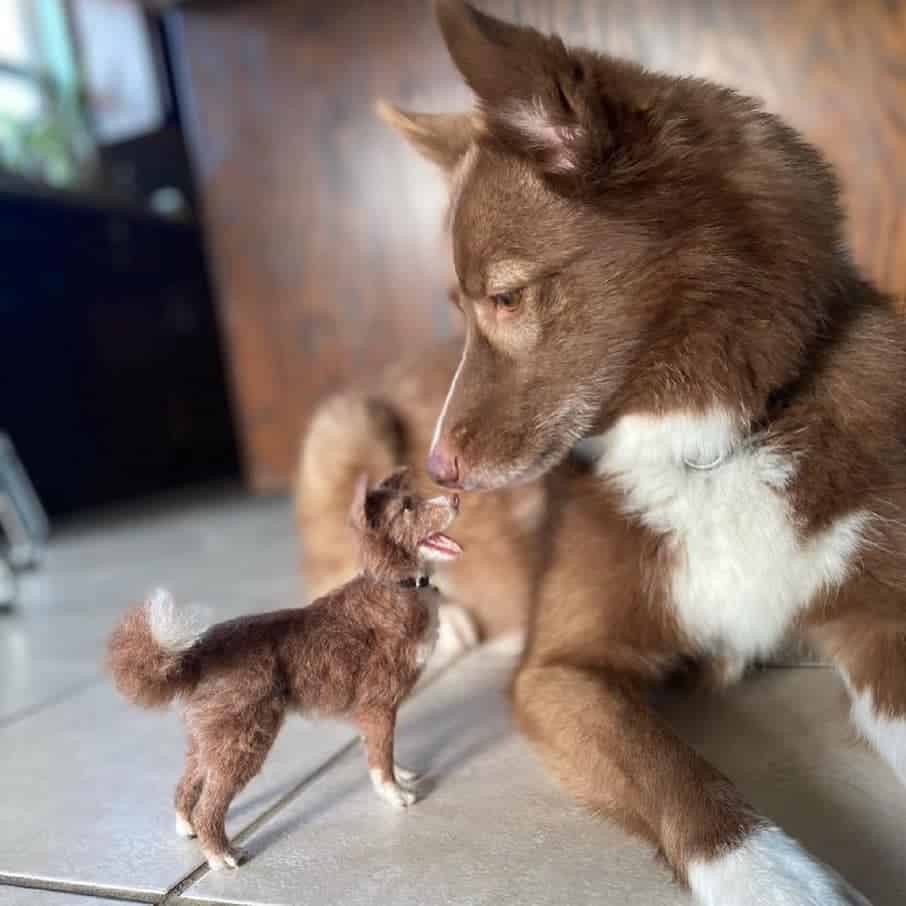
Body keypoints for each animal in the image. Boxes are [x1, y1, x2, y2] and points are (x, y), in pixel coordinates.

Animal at [106, 470, 460, 864]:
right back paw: (220, 855)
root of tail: (197, 654)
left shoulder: (378, 714)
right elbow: (380, 759)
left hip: (209, 738)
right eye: (408, 508)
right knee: (210, 803)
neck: (397, 585)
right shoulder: (378, 706)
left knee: (188, 783)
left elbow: (383, 751)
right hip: (244, 739)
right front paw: (395, 795)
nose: (457, 498)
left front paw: (402, 774)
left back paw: (187, 827)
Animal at [296, 3, 904, 900]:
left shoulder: (873, 619)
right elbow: (674, 772)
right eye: (463, 308)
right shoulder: (562, 671)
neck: (716, 442)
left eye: (505, 298)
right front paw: (776, 880)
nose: (435, 475)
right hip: (351, 424)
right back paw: (440, 623)